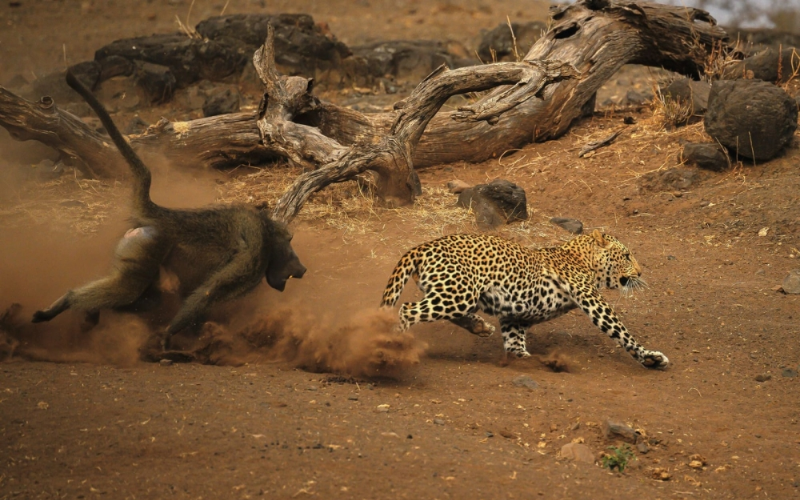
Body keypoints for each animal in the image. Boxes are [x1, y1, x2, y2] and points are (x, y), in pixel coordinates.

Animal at [380, 230, 668, 369]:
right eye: (627, 255)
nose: (641, 272)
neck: (582, 258)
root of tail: (421, 247)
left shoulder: (514, 315)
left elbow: (514, 342)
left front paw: (527, 360)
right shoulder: (591, 299)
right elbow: (621, 332)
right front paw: (649, 357)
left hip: (457, 293)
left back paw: (479, 326)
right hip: (458, 292)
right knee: (406, 310)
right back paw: (395, 347)